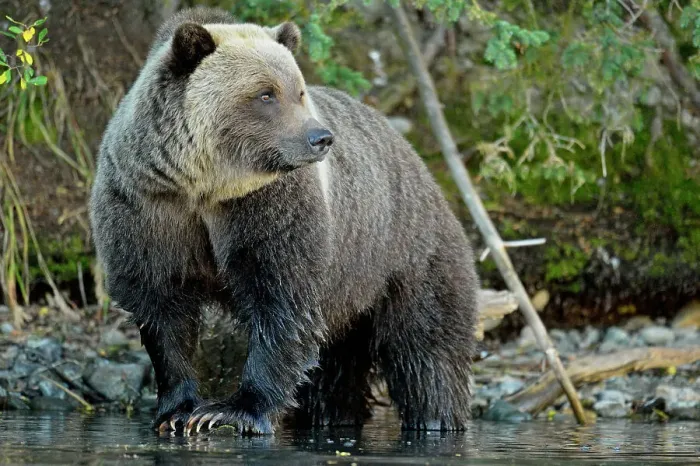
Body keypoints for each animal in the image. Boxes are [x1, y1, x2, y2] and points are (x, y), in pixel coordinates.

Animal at [89, 6, 479, 436]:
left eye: (299, 91)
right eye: (266, 94)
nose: (320, 137)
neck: (204, 187)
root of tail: (419, 165)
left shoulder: (269, 208)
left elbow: (282, 299)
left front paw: (232, 410)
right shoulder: (148, 208)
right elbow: (162, 306)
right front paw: (177, 411)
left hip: (404, 254)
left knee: (426, 348)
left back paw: (435, 419)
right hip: (353, 288)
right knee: (337, 367)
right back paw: (332, 417)